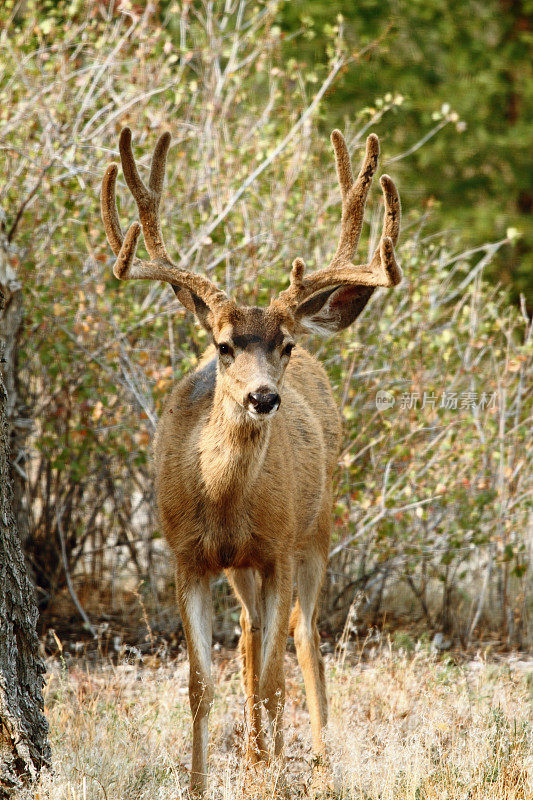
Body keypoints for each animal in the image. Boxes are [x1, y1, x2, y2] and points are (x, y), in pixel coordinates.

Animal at [100, 122, 402, 792]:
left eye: (282, 344)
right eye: (223, 345)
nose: (264, 397)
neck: (221, 501)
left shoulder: (278, 549)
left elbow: (272, 679)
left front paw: (269, 778)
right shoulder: (186, 555)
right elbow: (199, 683)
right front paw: (198, 784)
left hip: (315, 530)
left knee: (301, 639)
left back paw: (313, 762)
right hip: (244, 568)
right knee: (249, 635)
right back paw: (257, 752)